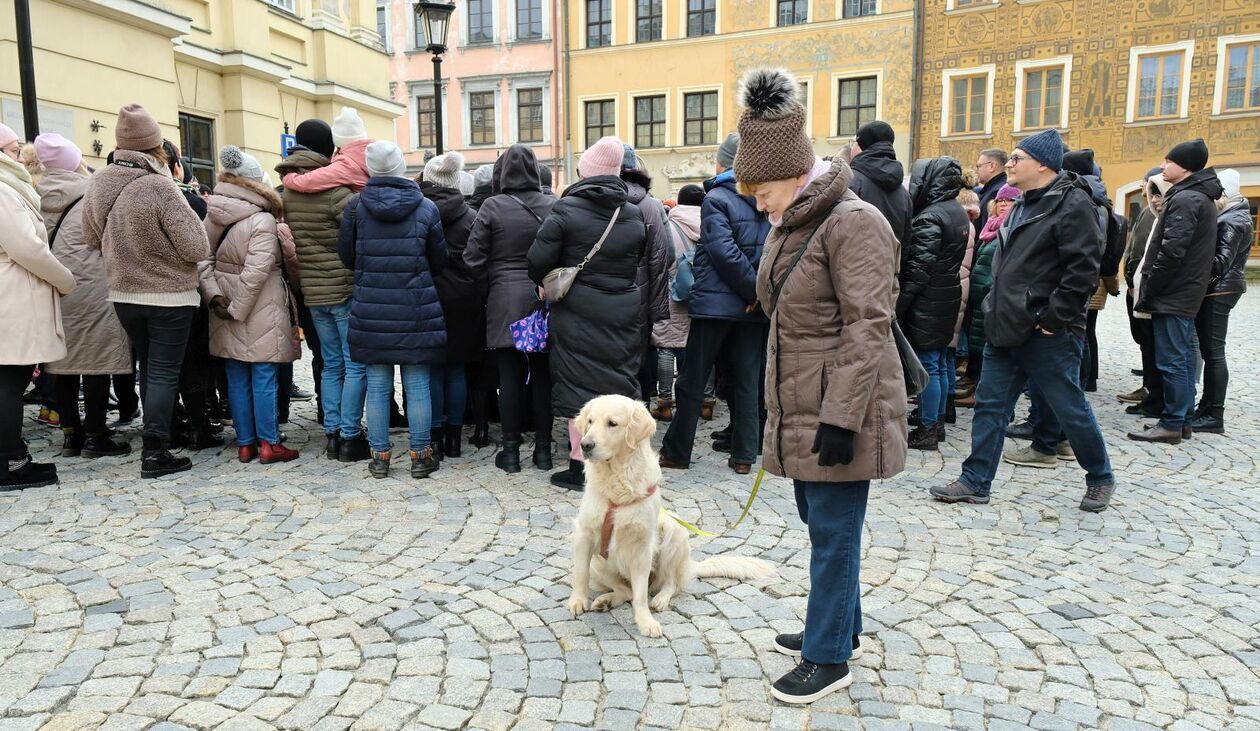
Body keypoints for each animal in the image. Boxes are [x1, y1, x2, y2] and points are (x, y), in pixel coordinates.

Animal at [567, 390, 771, 637]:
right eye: (590, 421)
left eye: (612, 423)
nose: (585, 445)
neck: (617, 482)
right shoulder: (584, 533)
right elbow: (580, 574)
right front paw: (578, 601)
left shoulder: (643, 545)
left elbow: (640, 595)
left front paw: (645, 621)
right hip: (599, 563)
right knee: (625, 590)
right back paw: (605, 600)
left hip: (675, 533)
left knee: (669, 583)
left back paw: (660, 600)